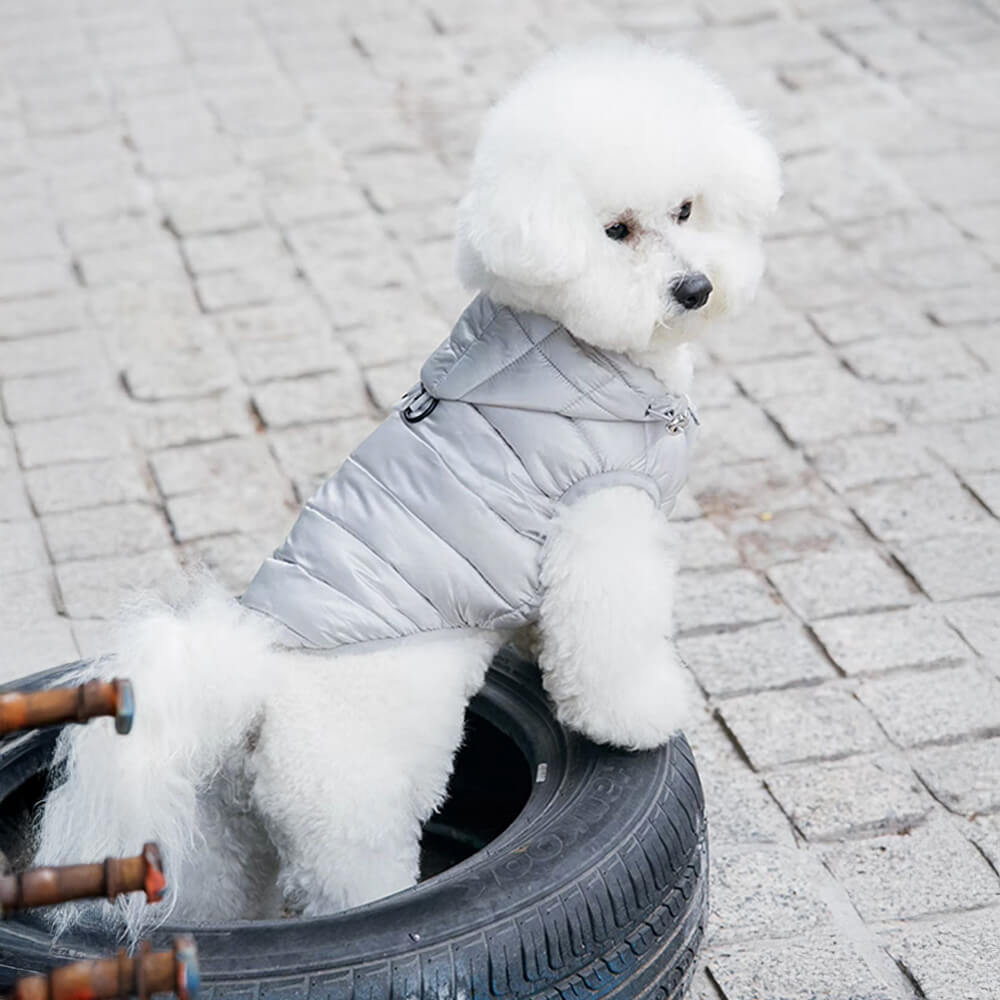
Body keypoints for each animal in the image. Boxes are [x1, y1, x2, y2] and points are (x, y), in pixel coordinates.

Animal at [35, 39, 780, 940]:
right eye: (616, 231)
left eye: (686, 209)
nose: (695, 288)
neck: (568, 351)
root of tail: (254, 685)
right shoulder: (601, 526)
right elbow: (611, 645)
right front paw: (637, 716)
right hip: (356, 814)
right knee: (354, 886)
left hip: (229, 832)